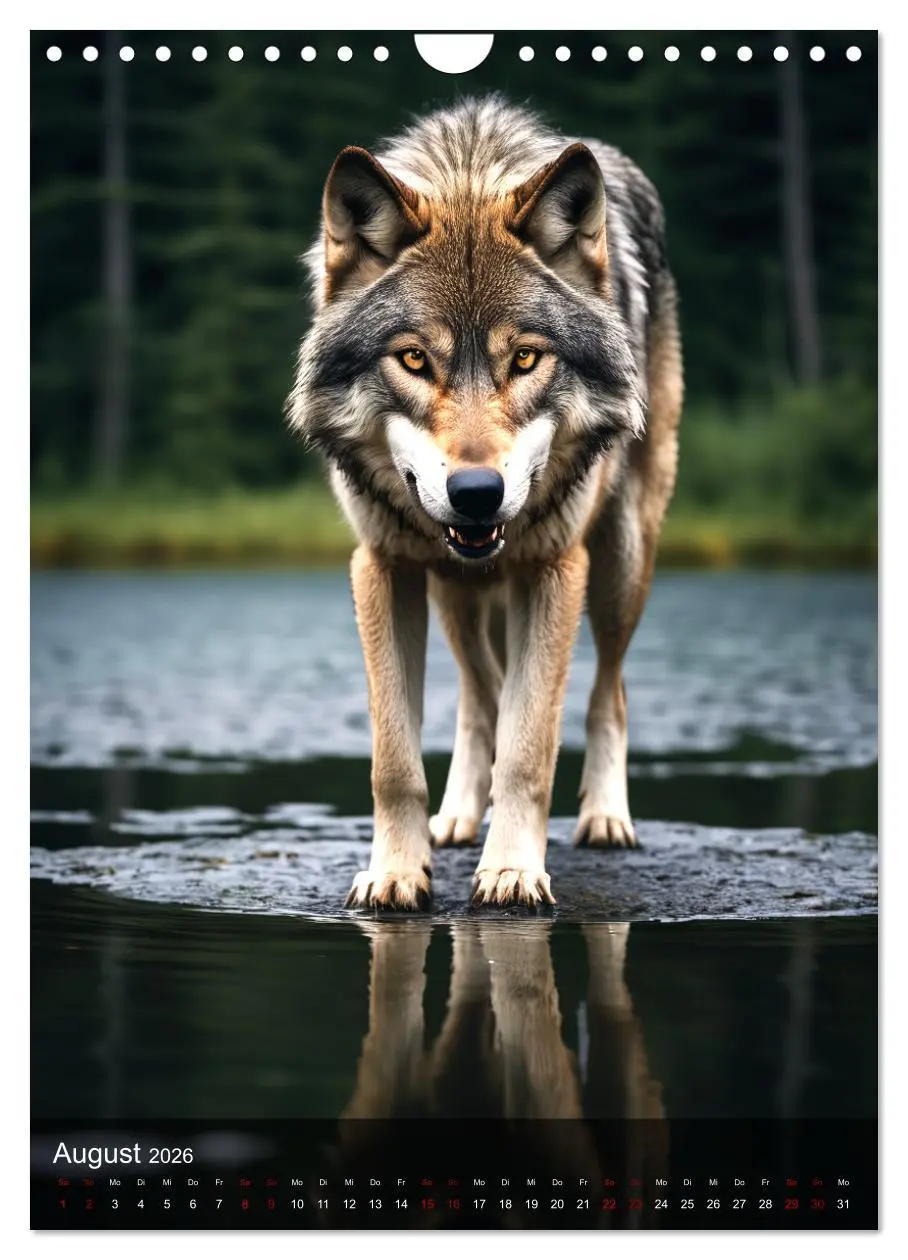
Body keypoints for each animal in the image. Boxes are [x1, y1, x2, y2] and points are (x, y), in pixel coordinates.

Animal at [287, 96, 683, 910]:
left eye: (525, 357)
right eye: (413, 359)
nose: (476, 494)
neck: (469, 172)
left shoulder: (554, 569)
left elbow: (529, 751)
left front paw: (512, 871)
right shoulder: (383, 568)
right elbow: (396, 759)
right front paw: (396, 871)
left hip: (621, 562)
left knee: (609, 691)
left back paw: (606, 817)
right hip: (457, 597)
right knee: (480, 697)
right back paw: (459, 817)